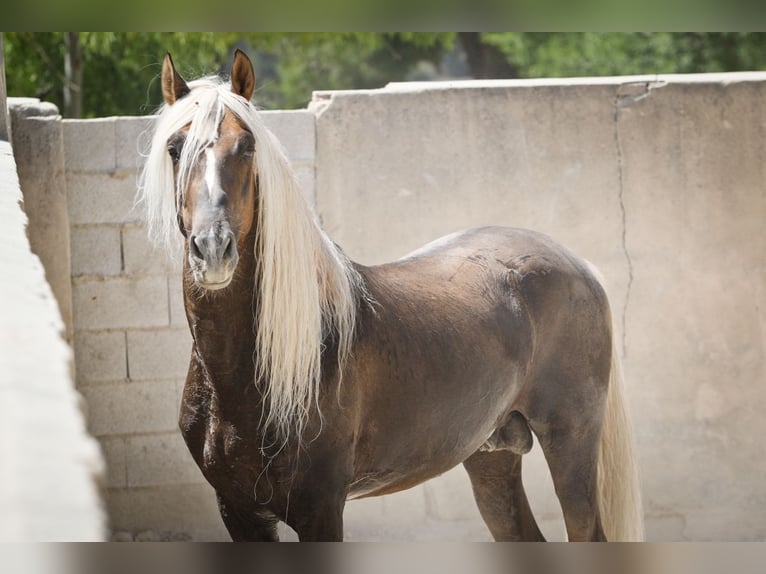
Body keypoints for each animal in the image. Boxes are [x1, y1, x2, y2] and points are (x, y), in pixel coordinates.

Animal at [140, 50, 648, 544]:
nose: (213, 249)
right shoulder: (240, 513)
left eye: (247, 147)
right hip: (491, 455)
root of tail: (575, 262)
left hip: (570, 441)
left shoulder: (320, 510)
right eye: (174, 149)